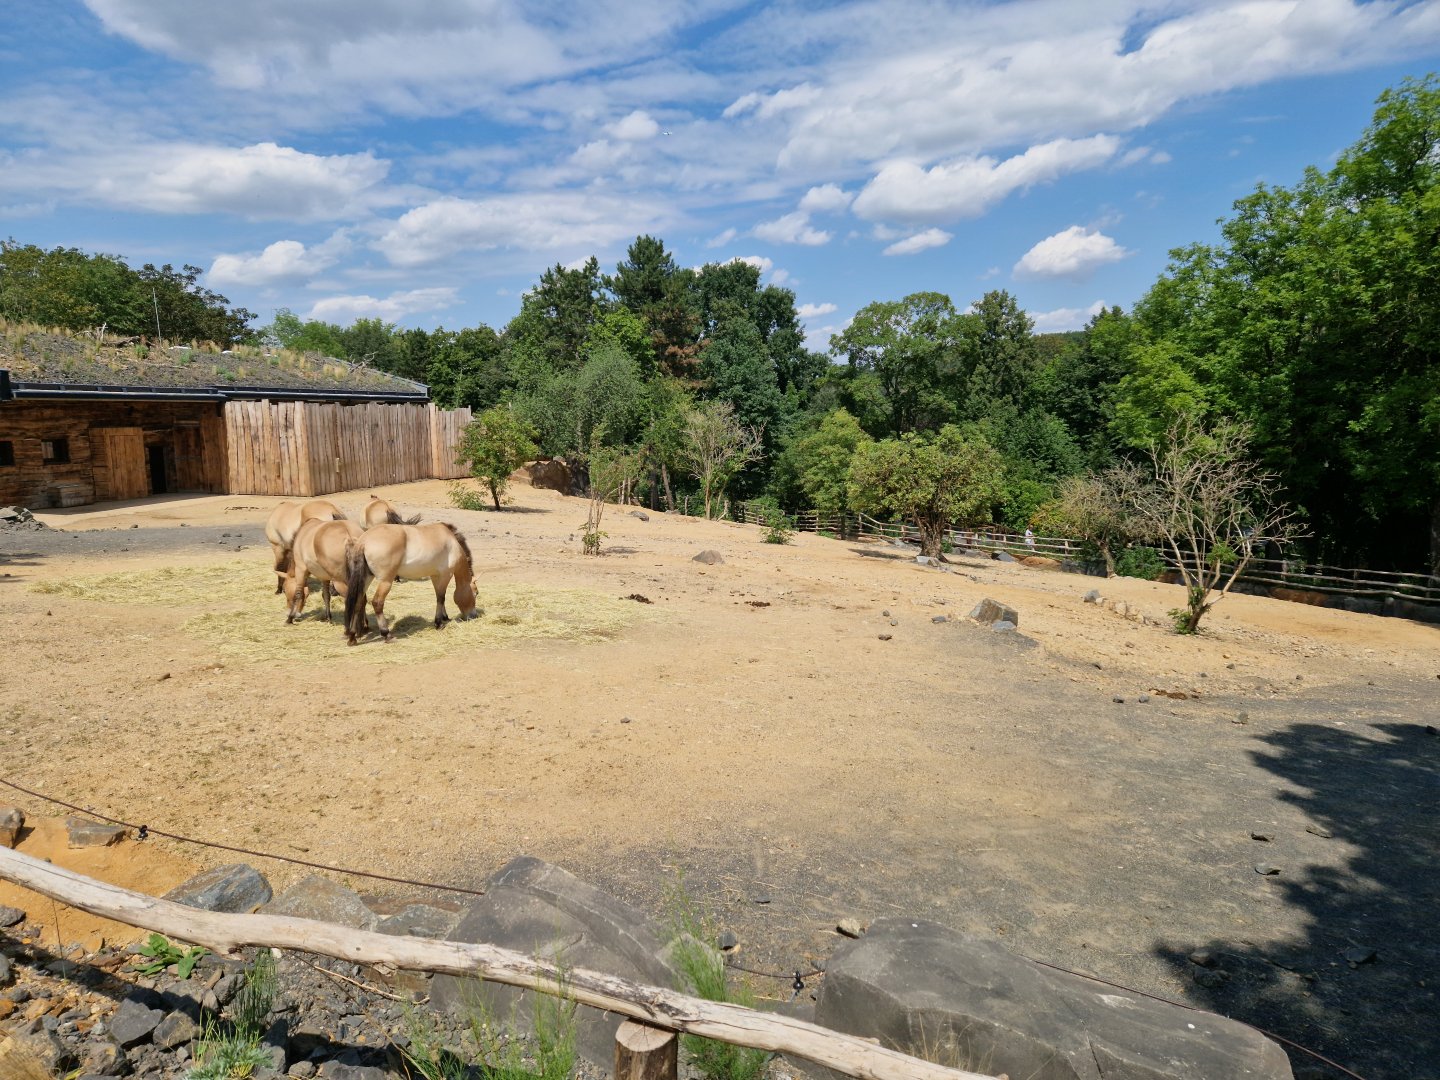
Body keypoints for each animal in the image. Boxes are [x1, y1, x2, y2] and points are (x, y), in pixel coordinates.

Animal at [342, 522, 479, 645]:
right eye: (476, 593)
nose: (474, 615)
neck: (451, 542)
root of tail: (363, 541)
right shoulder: (445, 575)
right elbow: (441, 598)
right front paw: (439, 623)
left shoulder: (435, 576)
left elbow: (439, 598)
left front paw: (444, 617)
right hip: (386, 581)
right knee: (377, 603)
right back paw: (387, 634)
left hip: (366, 578)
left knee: (358, 603)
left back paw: (352, 636)